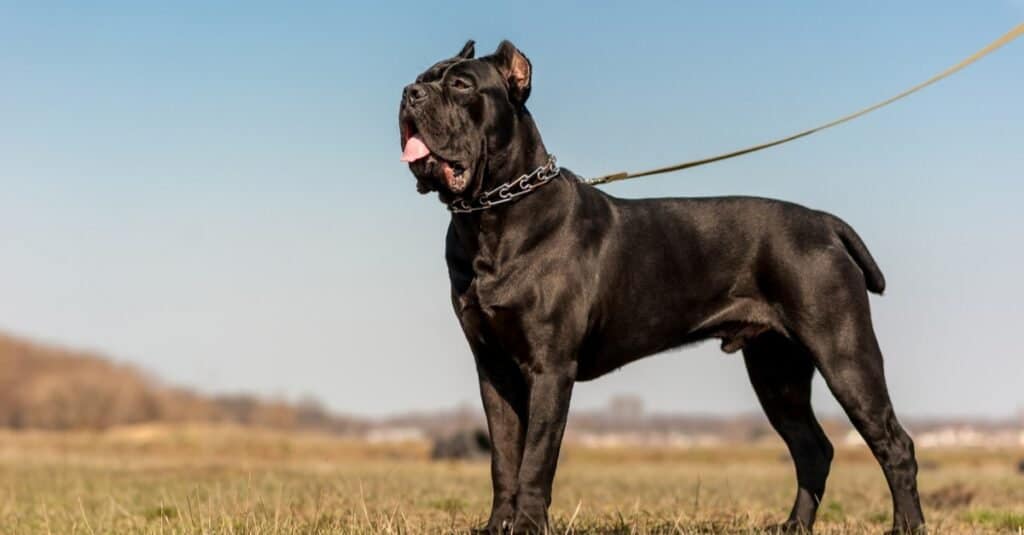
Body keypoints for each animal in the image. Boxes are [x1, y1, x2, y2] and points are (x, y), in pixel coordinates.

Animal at [399, 39, 929, 528]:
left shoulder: (550, 367)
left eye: (461, 84)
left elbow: (535, 461)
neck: (491, 216)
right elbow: (503, 459)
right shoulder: (494, 369)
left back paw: (906, 524)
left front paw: (528, 526)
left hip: (844, 354)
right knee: (812, 449)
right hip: (777, 370)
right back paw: (794, 525)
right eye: (423, 77)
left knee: (894, 443)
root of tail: (823, 222)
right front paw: (497, 526)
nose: (409, 93)